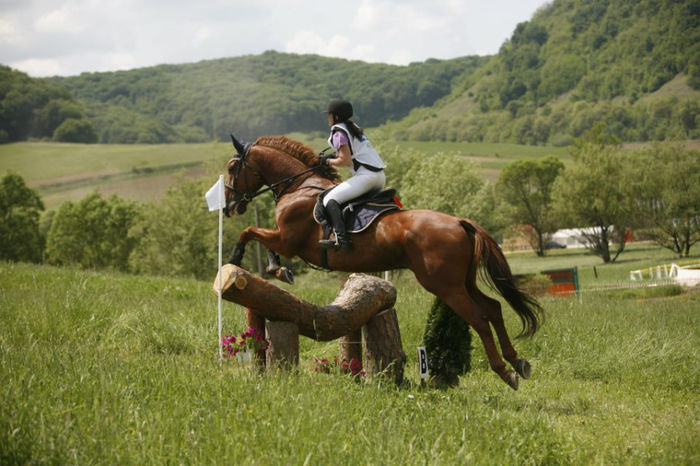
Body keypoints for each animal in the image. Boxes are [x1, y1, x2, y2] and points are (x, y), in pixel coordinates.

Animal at [227, 135, 544, 390]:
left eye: (231, 169)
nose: (231, 206)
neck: (299, 186)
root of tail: (458, 222)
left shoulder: (288, 240)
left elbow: (250, 232)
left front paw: (238, 259)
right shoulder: (283, 239)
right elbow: (261, 239)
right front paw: (277, 269)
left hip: (445, 286)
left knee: (479, 318)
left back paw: (505, 372)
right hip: (461, 282)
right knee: (494, 308)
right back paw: (518, 363)